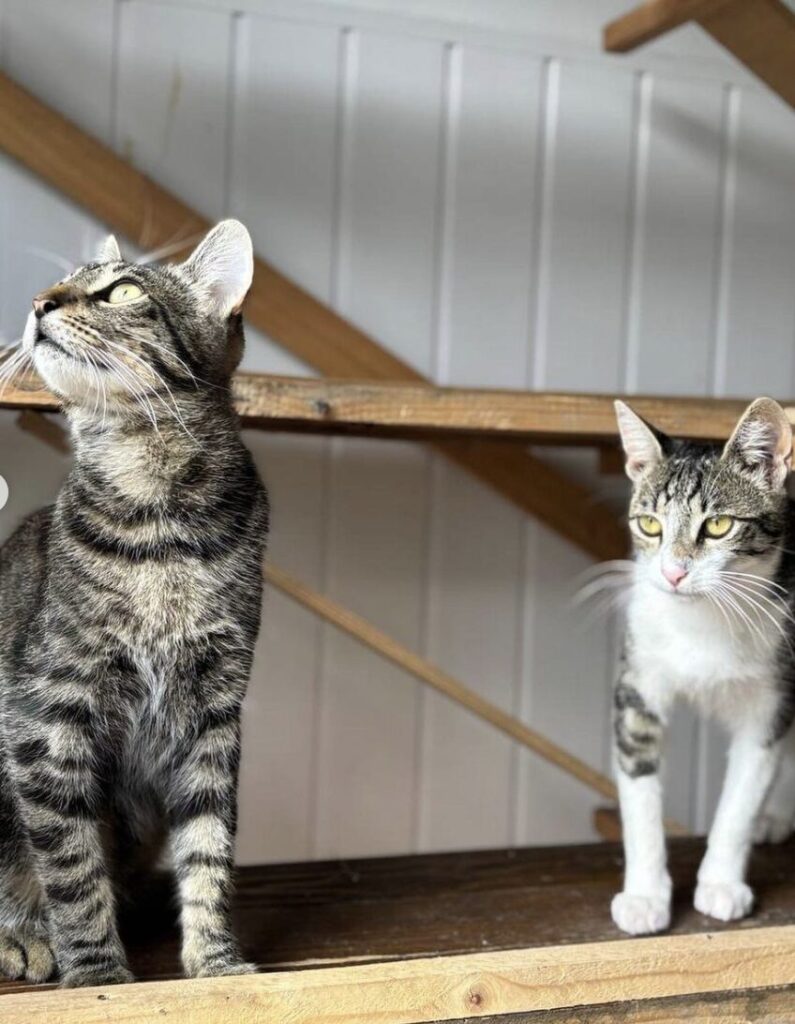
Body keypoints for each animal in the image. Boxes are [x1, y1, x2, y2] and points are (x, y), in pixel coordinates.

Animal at [610, 397, 790, 937]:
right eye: (649, 525)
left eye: (718, 525)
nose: (672, 573)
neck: (703, 621)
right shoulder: (639, 677)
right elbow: (640, 786)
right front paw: (644, 896)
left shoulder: (771, 697)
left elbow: (744, 793)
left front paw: (722, 885)